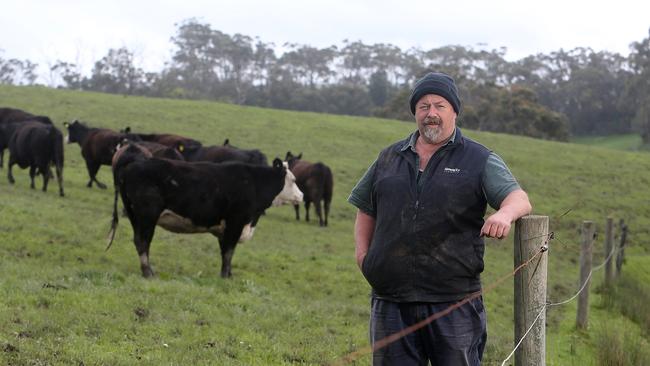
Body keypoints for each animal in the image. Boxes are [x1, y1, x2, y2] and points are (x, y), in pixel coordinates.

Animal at [107, 147, 302, 276]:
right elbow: (229, 251)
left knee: (138, 241)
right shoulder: (235, 222)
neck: (254, 182)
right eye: (293, 180)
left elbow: (225, 252)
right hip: (147, 215)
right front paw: (226, 277)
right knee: (143, 241)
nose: (301, 195)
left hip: (134, 215)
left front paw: (227, 274)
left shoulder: (225, 228)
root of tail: (134, 163)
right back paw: (148, 272)